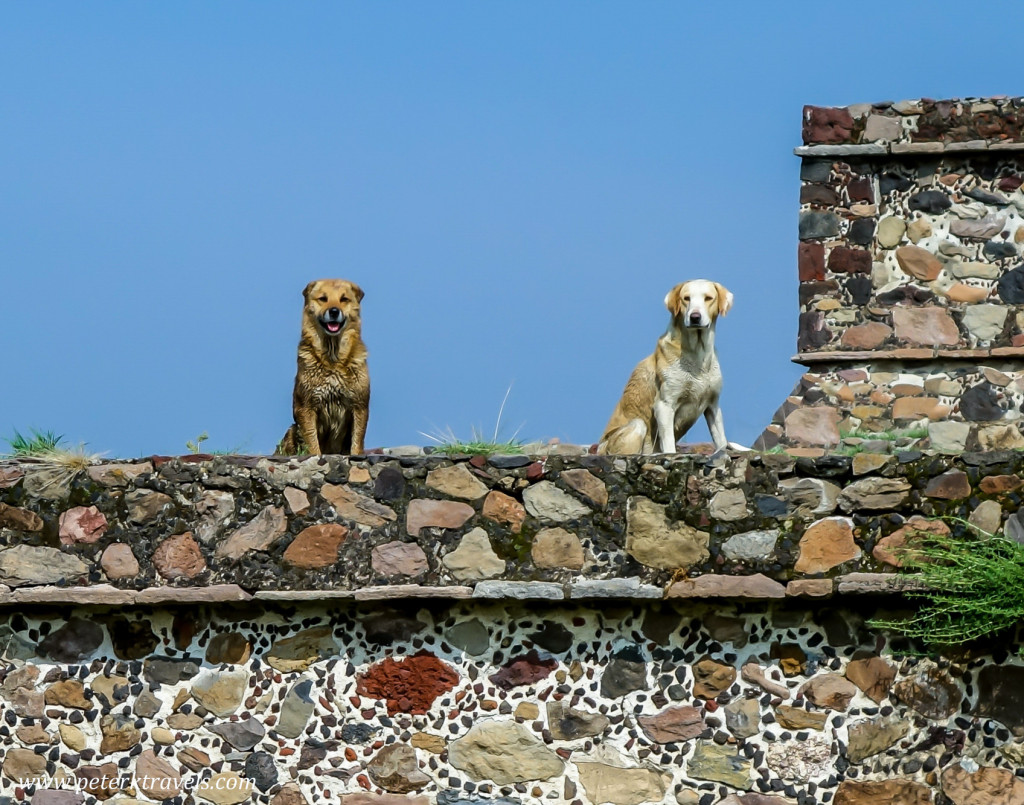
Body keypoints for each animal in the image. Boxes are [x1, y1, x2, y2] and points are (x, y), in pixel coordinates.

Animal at [274, 278, 370, 454]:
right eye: (323, 299)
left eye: (344, 299)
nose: (334, 311)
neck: (333, 358)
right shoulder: (306, 406)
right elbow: (312, 443)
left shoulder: (360, 405)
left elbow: (356, 442)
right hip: (292, 430)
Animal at [598, 278, 733, 450]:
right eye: (686, 298)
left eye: (708, 298)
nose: (695, 317)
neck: (697, 355)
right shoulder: (664, 406)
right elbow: (669, 444)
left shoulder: (713, 406)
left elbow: (721, 441)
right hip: (637, 425)